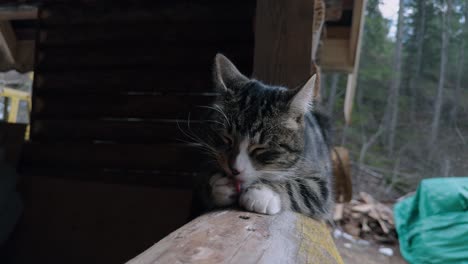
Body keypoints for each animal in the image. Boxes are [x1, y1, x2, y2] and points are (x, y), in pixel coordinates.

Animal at [193, 54, 332, 220]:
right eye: (227, 139)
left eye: (260, 148)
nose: (234, 170)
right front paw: (218, 184)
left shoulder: (320, 183)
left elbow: (303, 190)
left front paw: (263, 193)